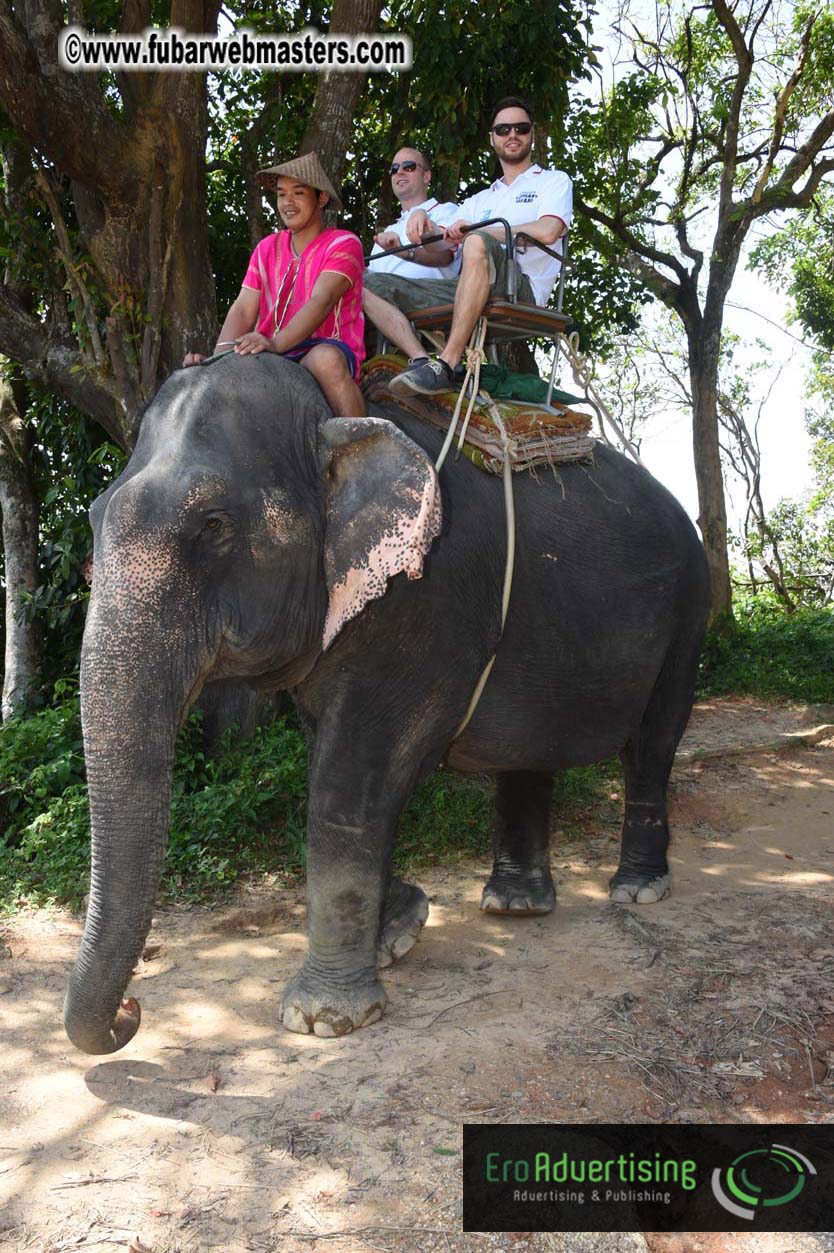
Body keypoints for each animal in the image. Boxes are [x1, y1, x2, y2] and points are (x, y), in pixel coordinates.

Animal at [64, 352, 709, 1053]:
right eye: (93, 520)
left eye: (213, 525)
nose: (132, 1012)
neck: (329, 421)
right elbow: (343, 764)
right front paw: (399, 927)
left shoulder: (424, 599)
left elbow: (351, 779)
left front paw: (323, 1018)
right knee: (529, 751)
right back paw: (515, 905)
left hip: (690, 605)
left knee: (653, 743)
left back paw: (637, 890)